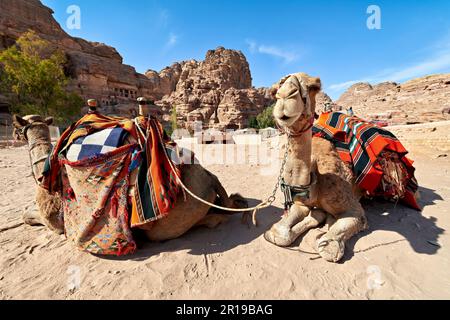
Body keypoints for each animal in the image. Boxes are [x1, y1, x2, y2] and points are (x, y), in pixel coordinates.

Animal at [11, 115, 246, 242]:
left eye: (16, 127)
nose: (13, 136)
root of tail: (209, 178)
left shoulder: (54, 222)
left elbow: (29, 215)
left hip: (165, 227)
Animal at [266, 73, 368, 262]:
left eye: (314, 86)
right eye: (275, 91)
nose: (285, 96)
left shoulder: (353, 207)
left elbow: (328, 247)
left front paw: (327, 239)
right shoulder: (301, 203)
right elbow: (279, 234)